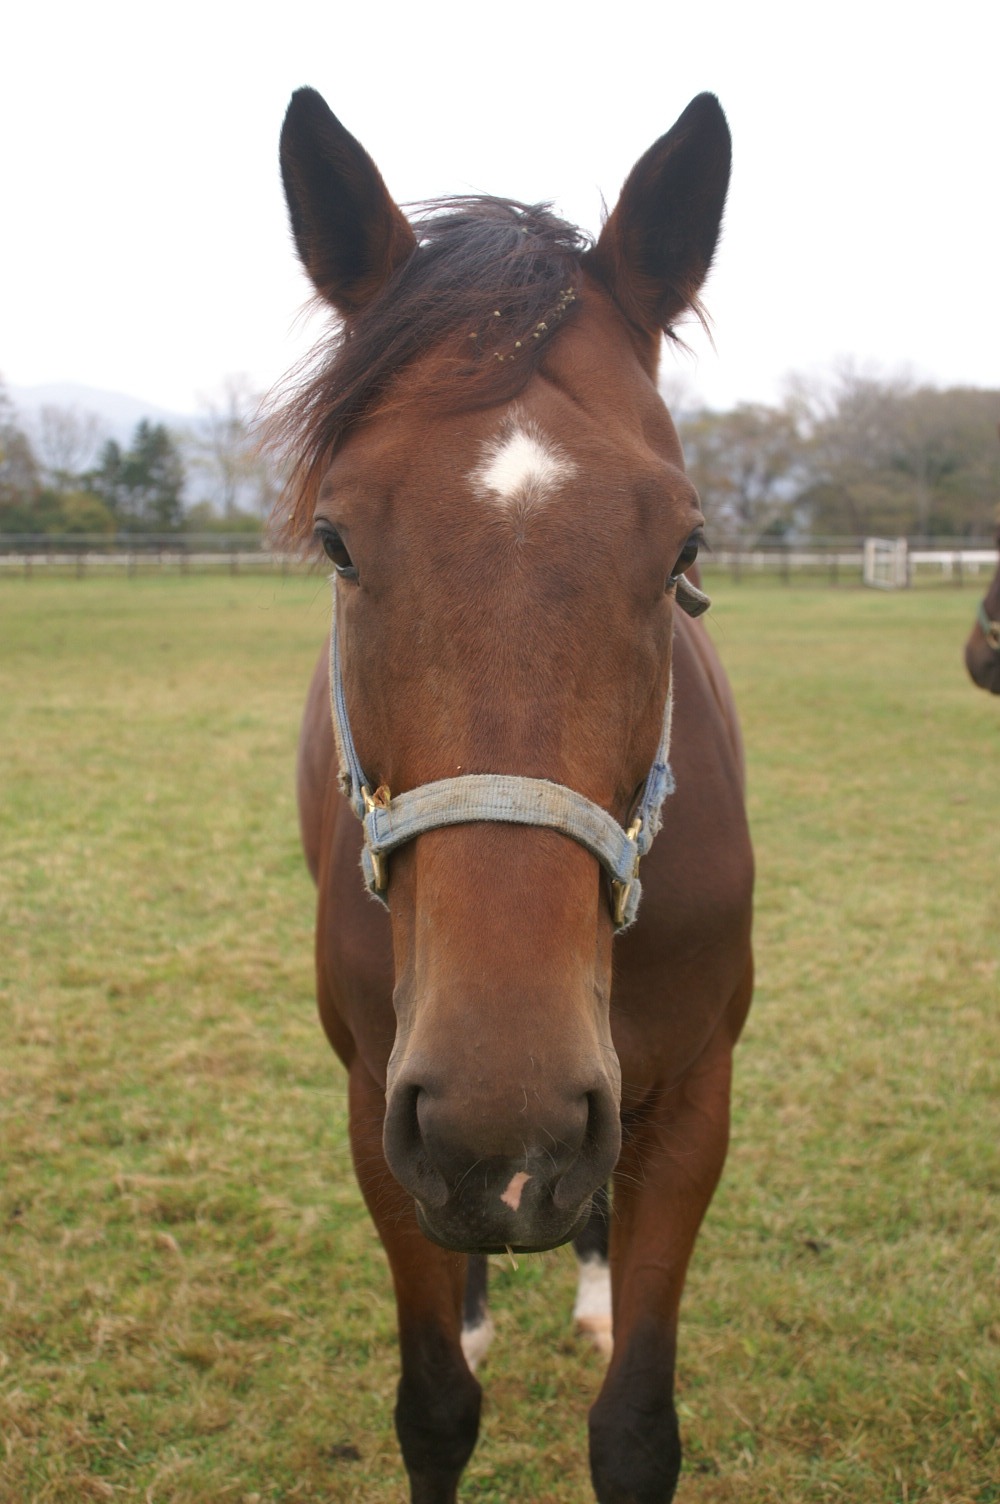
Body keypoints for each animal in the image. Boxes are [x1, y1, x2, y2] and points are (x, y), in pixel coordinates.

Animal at [269, 90, 751, 1504]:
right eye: (338, 540)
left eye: (684, 545)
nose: (505, 1118)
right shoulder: (380, 1104)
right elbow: (436, 1407)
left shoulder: (691, 1101)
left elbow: (635, 1428)